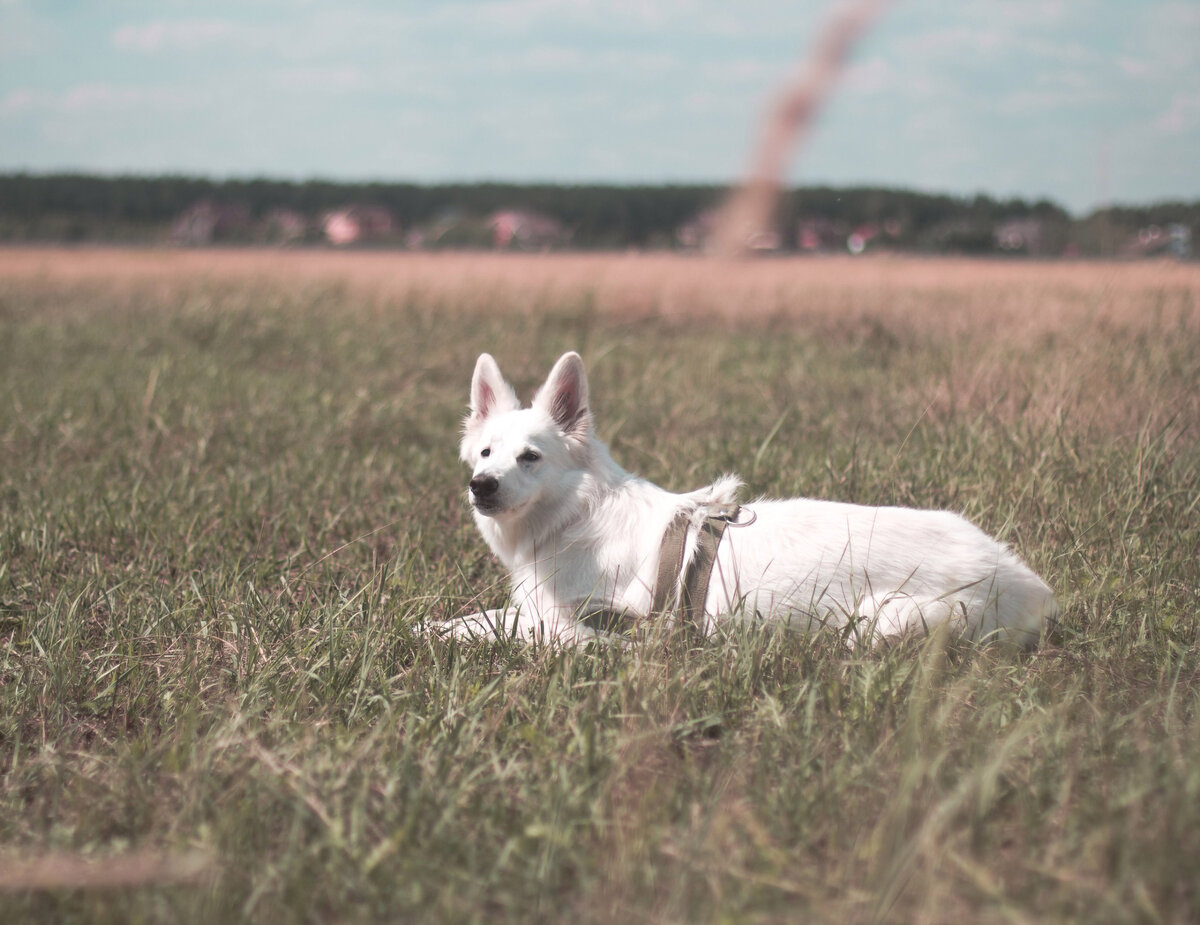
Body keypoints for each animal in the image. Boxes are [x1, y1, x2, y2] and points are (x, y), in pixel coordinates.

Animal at [451, 350, 1060, 647]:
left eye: (530, 457)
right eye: (485, 453)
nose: (482, 486)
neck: (577, 513)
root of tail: (1030, 584)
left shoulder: (572, 626)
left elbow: (491, 627)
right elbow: (475, 616)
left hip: (879, 626)